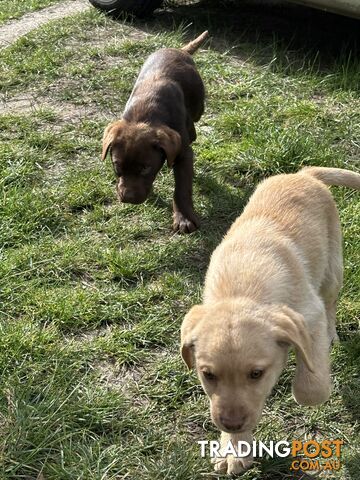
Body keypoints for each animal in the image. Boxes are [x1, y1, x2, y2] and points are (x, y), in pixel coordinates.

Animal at [101, 31, 208, 233]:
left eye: (145, 168)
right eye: (117, 166)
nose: (128, 198)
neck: (145, 113)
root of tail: (180, 50)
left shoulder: (183, 153)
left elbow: (182, 188)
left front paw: (183, 218)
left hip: (198, 103)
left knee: (194, 124)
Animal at [181, 167, 358, 474]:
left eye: (256, 374)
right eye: (208, 375)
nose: (231, 424)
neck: (241, 287)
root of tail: (303, 173)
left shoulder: (310, 316)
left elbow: (311, 387)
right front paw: (233, 447)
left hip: (333, 268)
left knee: (331, 302)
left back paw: (332, 335)